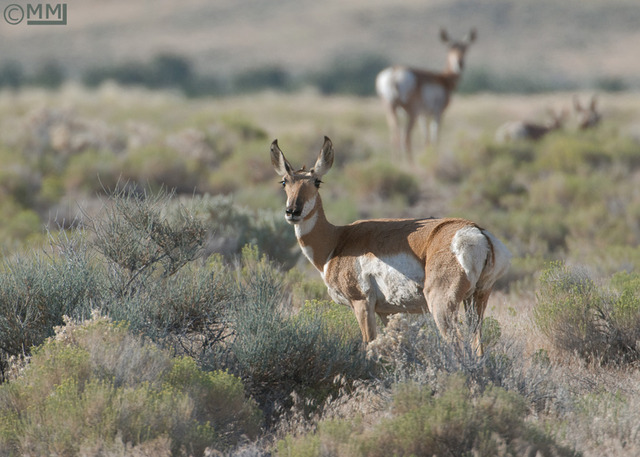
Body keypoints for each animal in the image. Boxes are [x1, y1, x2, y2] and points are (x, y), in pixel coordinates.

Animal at [270, 137, 511, 354]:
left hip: (442, 304)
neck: (337, 240)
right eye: (284, 182)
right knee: (477, 347)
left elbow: (369, 348)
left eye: (317, 181)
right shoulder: (387, 313)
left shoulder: (362, 304)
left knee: (458, 346)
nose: (292, 211)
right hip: (477, 299)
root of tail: (476, 232)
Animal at [376, 28, 477, 160]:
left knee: (394, 135)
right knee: (405, 137)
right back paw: (409, 162)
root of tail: (394, 73)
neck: (443, 79)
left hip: (391, 109)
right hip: (411, 113)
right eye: (450, 48)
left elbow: (426, 140)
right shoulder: (438, 114)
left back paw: (396, 160)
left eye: (465, 48)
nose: (460, 63)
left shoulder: (423, 116)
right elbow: (435, 139)